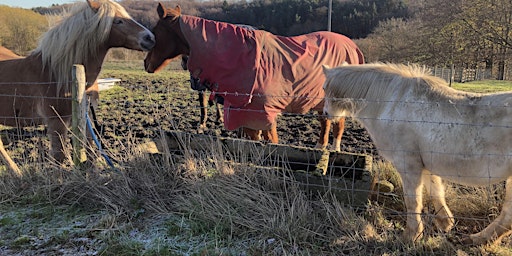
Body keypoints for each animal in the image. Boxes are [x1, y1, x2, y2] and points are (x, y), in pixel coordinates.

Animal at [0, 0, 154, 164]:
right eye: (118, 21)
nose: (150, 38)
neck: (57, 73)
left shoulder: (86, 117)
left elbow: (90, 150)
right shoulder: (57, 122)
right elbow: (59, 157)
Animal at [144, 3, 364, 150]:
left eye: (154, 31)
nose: (146, 63)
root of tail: (350, 45)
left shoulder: (263, 113)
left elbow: (272, 144)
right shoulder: (247, 116)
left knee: (337, 125)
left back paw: (334, 150)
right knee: (325, 123)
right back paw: (320, 148)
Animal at [322, 62, 512, 244]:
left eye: (324, 88)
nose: (325, 113)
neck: (392, 103)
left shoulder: (408, 163)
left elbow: (413, 200)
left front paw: (411, 235)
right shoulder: (425, 163)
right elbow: (436, 190)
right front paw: (445, 223)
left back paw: (477, 239)